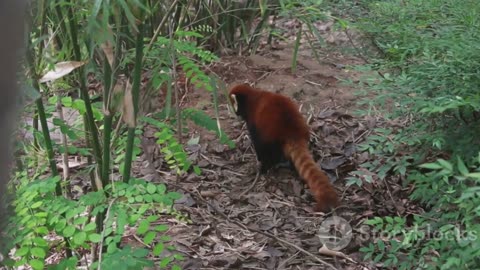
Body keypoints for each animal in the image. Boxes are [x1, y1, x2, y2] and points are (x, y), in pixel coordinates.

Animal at [229, 83, 338, 212]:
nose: (235, 113)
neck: (252, 96)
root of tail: (293, 131)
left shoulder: (254, 123)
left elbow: (258, 145)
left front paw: (259, 165)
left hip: (270, 134)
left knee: (269, 152)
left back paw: (267, 167)